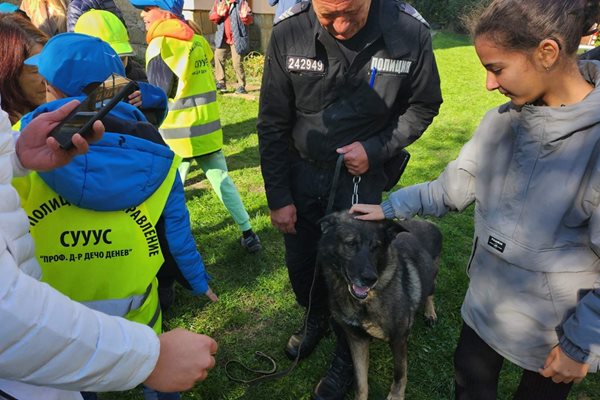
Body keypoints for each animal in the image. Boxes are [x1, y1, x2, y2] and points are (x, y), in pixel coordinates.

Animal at [318, 211, 440, 398]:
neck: (364, 301)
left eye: (376, 247)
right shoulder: (357, 339)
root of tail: (428, 222)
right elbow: (361, 381)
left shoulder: (398, 339)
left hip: (431, 276)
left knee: (429, 292)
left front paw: (396, 396)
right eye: (350, 243)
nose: (370, 279)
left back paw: (430, 312)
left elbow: (400, 373)